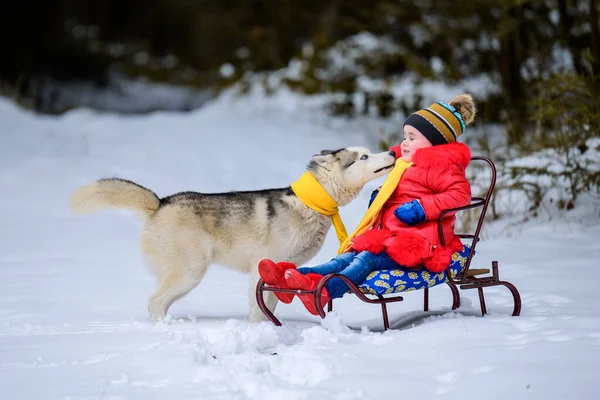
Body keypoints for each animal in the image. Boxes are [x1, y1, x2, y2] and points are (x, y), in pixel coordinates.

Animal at [70, 147, 396, 322]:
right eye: (363, 156)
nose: (392, 152)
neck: (311, 203)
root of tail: (160, 202)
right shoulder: (259, 271)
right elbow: (258, 310)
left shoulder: (281, 272)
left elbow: (269, 308)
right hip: (190, 273)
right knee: (154, 302)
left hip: (185, 279)